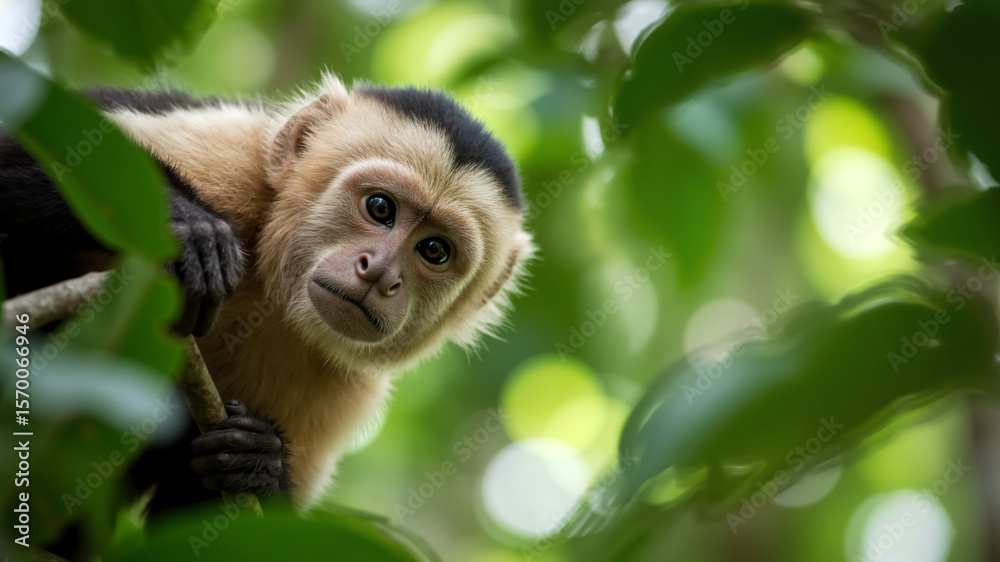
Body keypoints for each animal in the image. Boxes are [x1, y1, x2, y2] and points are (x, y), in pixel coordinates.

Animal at [0, 73, 534, 518]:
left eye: (435, 250)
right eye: (381, 208)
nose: (381, 273)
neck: (274, 300)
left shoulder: (343, 392)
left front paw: (259, 465)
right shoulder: (227, 158)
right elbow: (18, 146)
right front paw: (188, 227)